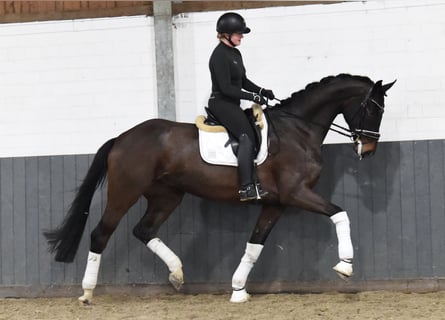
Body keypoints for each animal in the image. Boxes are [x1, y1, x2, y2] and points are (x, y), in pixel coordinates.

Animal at [43, 74, 394, 304]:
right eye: (372, 108)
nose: (368, 150)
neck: (298, 129)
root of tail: (122, 138)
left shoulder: (276, 203)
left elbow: (254, 246)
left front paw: (238, 290)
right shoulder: (296, 193)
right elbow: (340, 214)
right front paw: (345, 266)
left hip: (167, 196)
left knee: (143, 230)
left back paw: (177, 274)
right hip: (124, 192)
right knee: (101, 234)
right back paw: (87, 293)